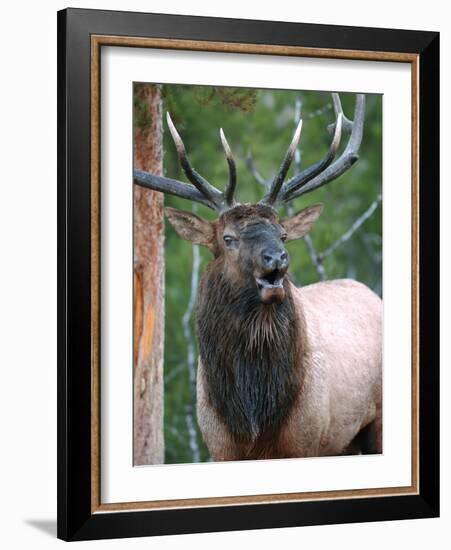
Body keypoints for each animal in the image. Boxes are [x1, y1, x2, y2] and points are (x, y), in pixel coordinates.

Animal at [133, 95, 382, 462]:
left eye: (282, 233)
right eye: (228, 238)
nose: (277, 258)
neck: (253, 417)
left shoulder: (305, 442)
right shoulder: (219, 447)